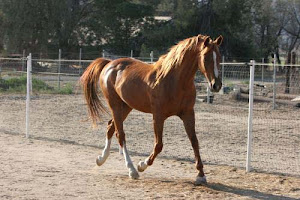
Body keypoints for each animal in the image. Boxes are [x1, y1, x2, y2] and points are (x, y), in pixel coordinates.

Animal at [80, 34, 223, 184]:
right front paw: (142, 165)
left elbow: (194, 142)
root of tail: (109, 64)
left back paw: (101, 159)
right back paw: (132, 170)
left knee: (110, 127)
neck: (174, 81)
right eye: (206, 57)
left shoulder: (188, 114)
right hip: (115, 105)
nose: (216, 85)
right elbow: (159, 145)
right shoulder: (158, 116)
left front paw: (201, 175)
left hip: (126, 107)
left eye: (219, 57)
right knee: (120, 135)